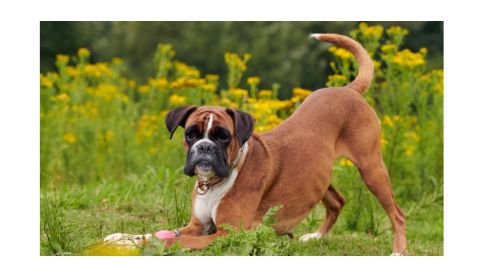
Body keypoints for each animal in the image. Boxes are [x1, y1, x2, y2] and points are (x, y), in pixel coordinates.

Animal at [103, 33, 406, 256]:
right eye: (191, 133)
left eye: (223, 136)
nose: (204, 147)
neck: (216, 181)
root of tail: (348, 90)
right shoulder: (196, 226)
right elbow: (156, 232)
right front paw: (121, 237)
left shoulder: (225, 234)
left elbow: (168, 240)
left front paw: (135, 244)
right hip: (319, 175)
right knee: (337, 201)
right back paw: (315, 237)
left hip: (372, 168)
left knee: (397, 213)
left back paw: (398, 251)